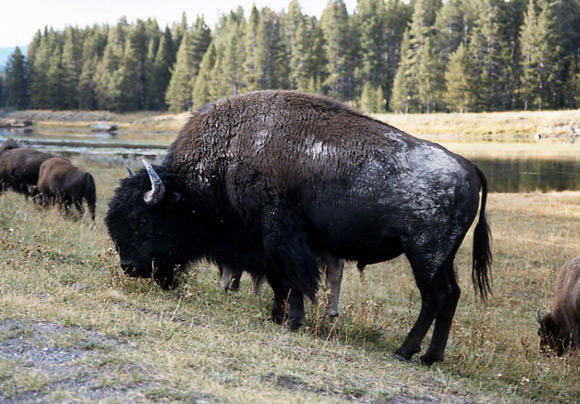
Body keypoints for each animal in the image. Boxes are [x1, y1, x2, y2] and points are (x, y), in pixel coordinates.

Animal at [103, 90, 490, 366]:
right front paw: (277, 316)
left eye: (142, 220)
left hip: (423, 253)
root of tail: (468, 166)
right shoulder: (263, 242)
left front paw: (292, 321)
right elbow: (278, 280)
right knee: (452, 294)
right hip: (443, 257)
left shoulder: (280, 234)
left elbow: (293, 280)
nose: (130, 267)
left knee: (434, 296)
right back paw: (430, 357)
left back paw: (405, 352)